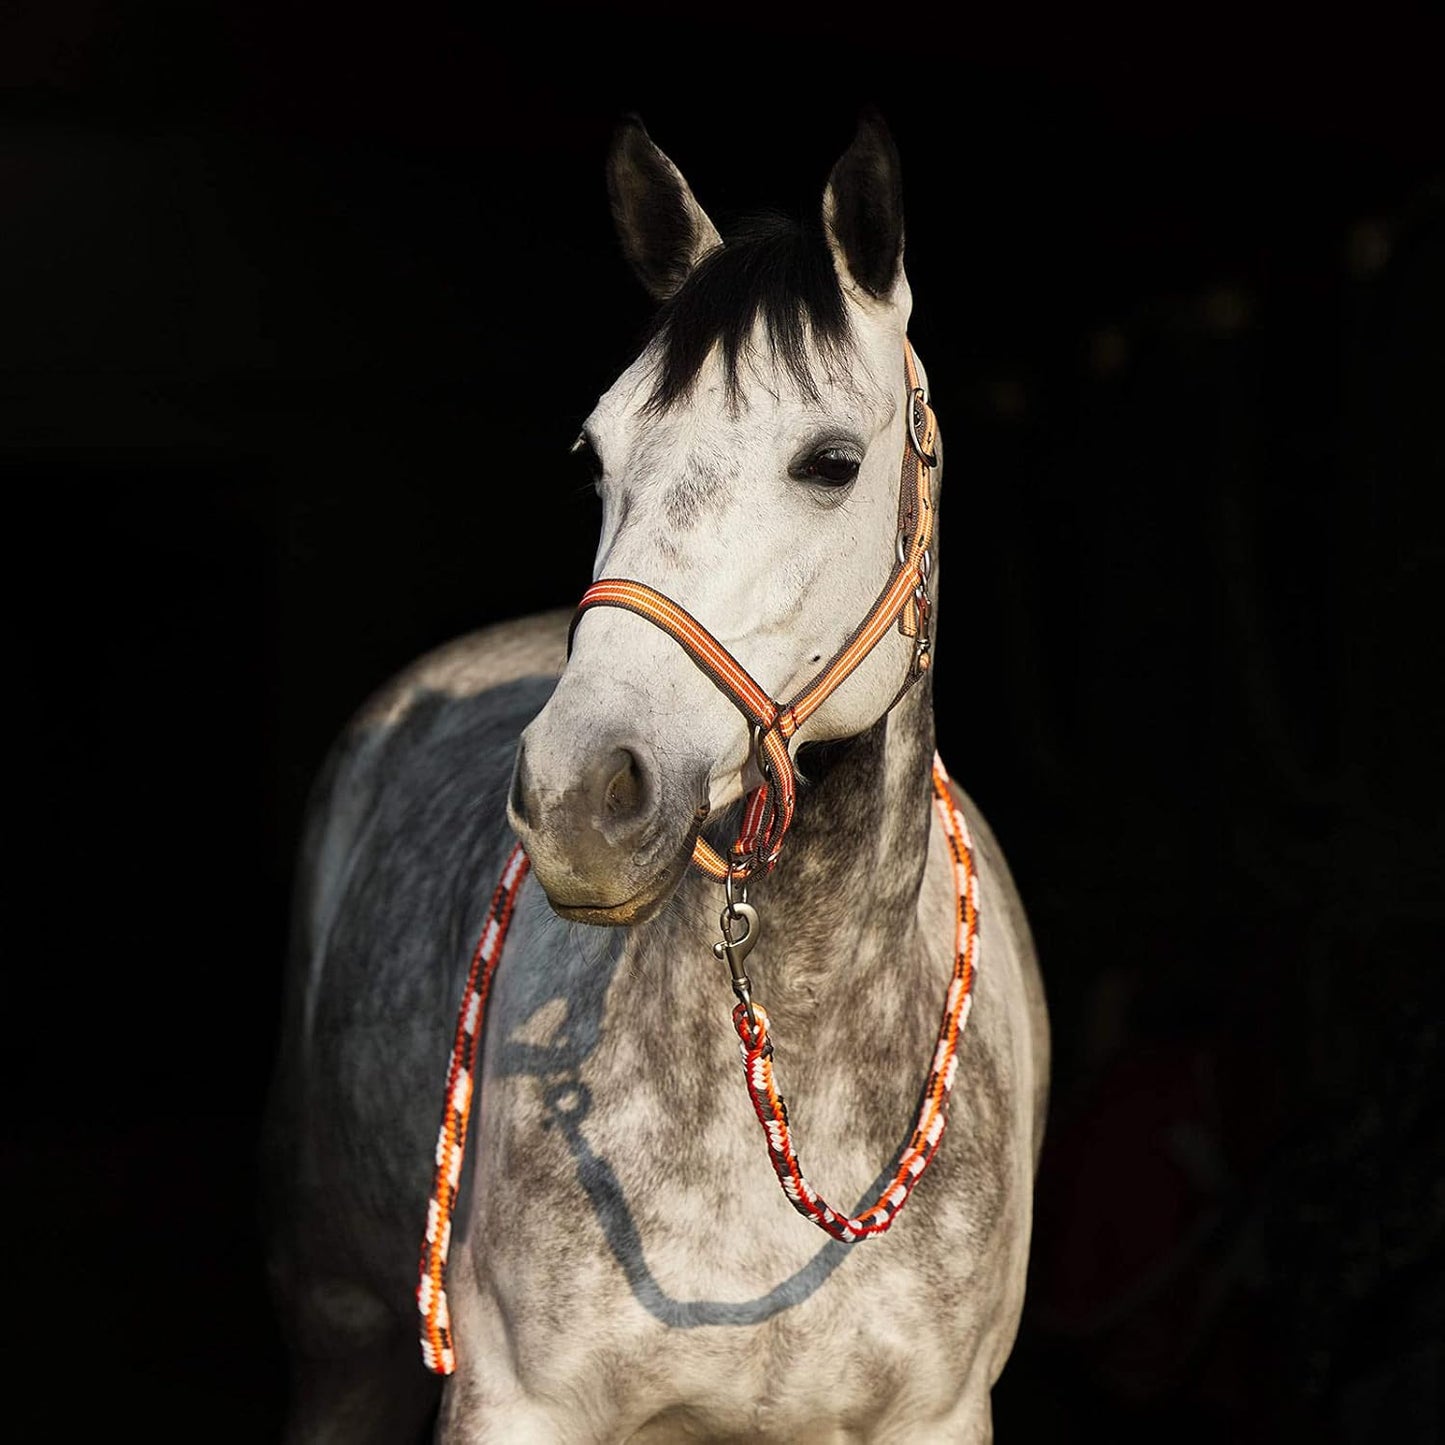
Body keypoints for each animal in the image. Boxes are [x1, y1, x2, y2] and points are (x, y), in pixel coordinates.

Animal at [263, 112, 1050, 1444]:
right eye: (597, 452)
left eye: (828, 462)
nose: (581, 793)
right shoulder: (515, 1403)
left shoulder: (934, 1415)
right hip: (337, 1332)